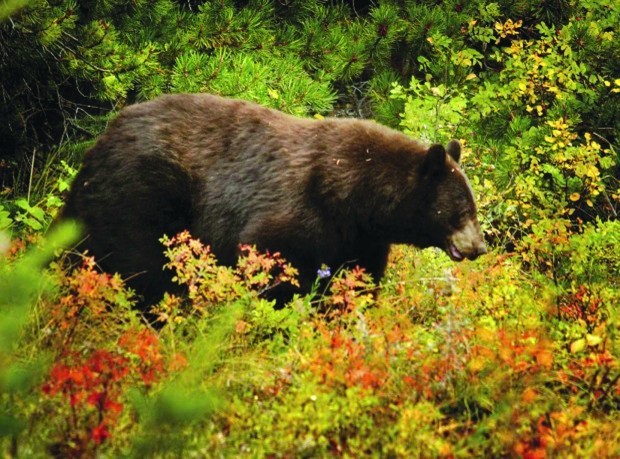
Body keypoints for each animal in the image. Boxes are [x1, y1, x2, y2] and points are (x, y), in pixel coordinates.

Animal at [58, 93, 486, 310]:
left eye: (474, 208)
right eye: (462, 210)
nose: (480, 246)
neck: (355, 195)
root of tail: (99, 143)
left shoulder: (360, 238)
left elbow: (357, 278)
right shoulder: (299, 210)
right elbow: (274, 261)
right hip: (141, 192)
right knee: (141, 264)